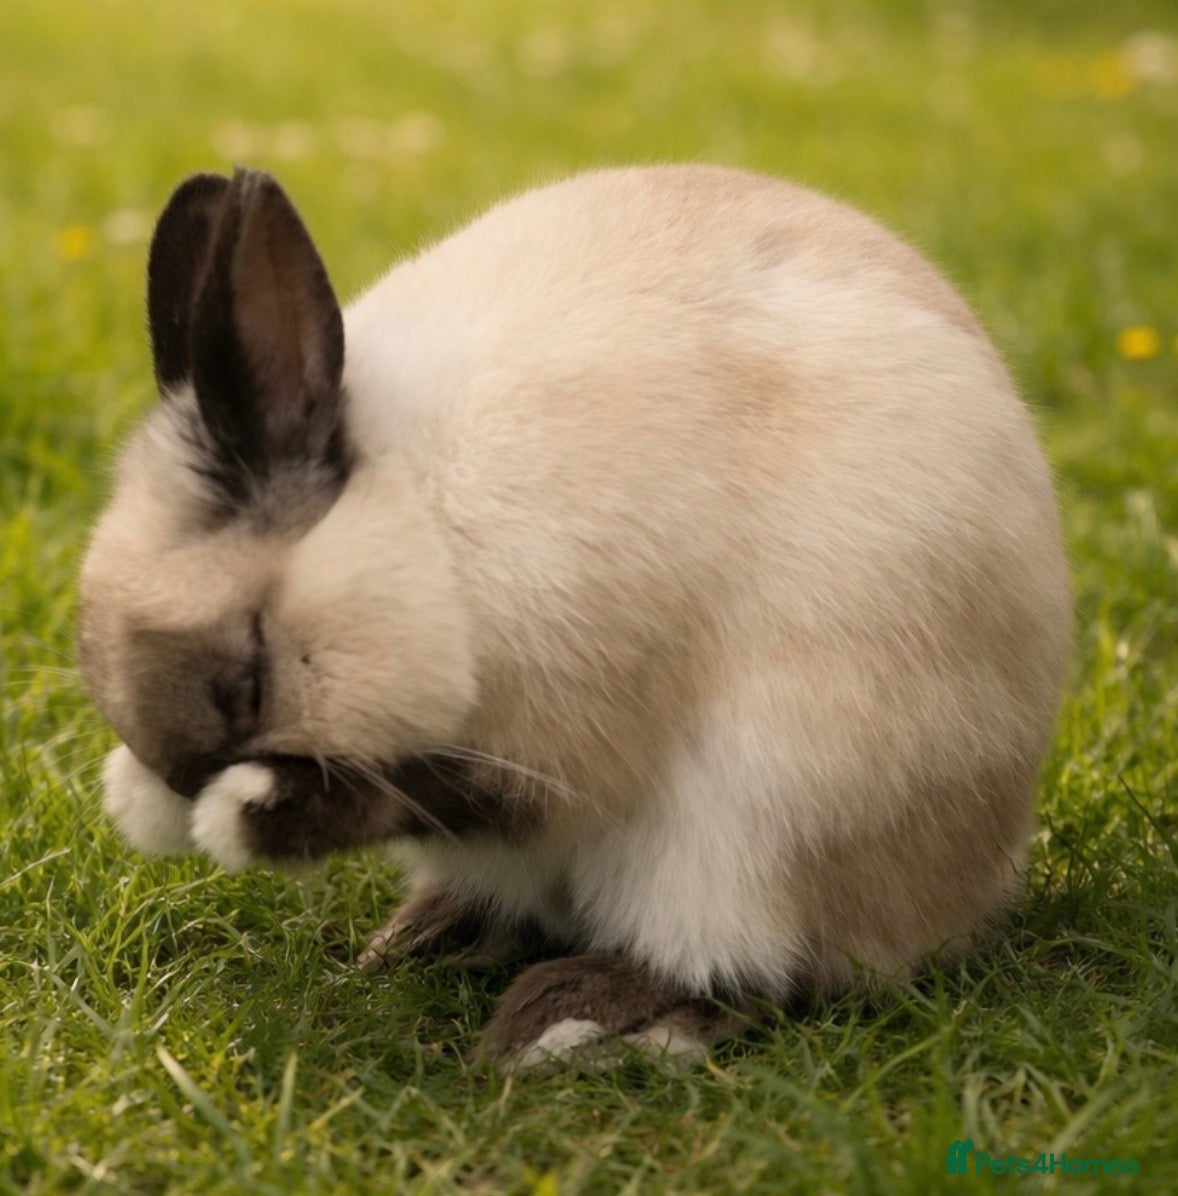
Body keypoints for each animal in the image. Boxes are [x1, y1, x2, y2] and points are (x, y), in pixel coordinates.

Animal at [78, 164, 1070, 1070]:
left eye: (246, 682)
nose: (178, 776)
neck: (430, 533)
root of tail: (974, 888)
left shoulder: (560, 740)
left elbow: (420, 791)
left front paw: (239, 811)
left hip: (750, 835)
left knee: (749, 974)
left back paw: (558, 1027)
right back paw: (411, 947)